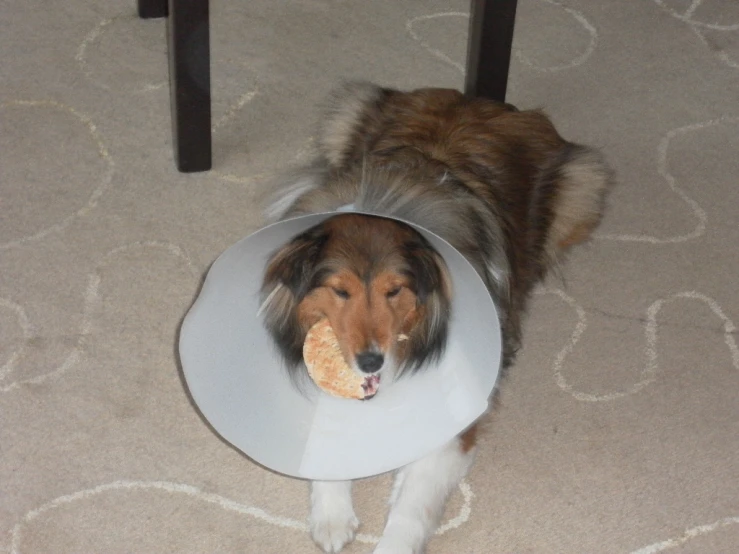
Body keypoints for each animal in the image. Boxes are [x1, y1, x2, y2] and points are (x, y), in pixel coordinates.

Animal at [260, 83, 612, 552]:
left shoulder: (454, 424)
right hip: (346, 116)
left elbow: (413, 501)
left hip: (582, 188)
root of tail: (477, 99)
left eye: (395, 290)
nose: (370, 362)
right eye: (340, 291)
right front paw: (332, 518)